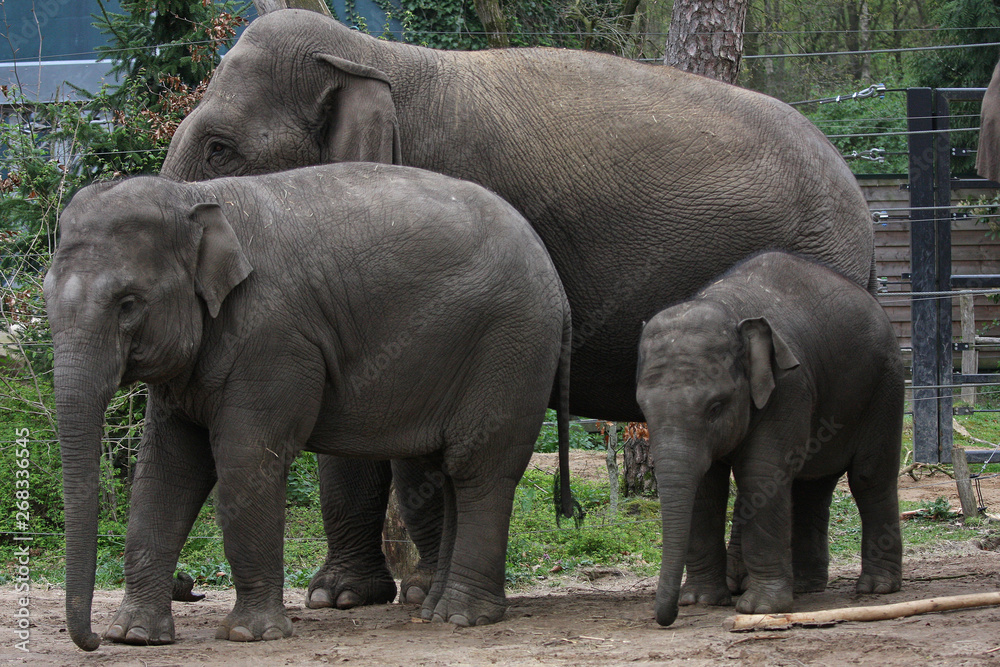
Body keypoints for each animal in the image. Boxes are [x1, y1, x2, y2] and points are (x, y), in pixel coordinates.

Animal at [43, 162, 575, 651]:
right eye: (45, 297)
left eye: (128, 304)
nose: (92, 640)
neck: (194, 198)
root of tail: (552, 270)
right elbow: (167, 469)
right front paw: (134, 636)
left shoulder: (273, 337)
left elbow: (245, 460)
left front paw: (250, 635)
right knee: (447, 471)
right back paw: (434, 611)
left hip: (512, 345)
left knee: (477, 468)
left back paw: (461, 617)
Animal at [159, 8, 879, 610]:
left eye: (220, 147)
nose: (185, 587)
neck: (372, 55)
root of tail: (856, 194)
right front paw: (339, 597)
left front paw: (419, 592)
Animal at [635, 251, 903, 627]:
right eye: (643, 409)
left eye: (715, 407)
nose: (668, 617)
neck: (728, 307)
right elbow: (706, 487)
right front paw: (701, 600)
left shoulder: (790, 385)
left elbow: (761, 473)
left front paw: (760, 608)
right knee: (811, 485)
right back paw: (805, 586)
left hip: (885, 384)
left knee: (869, 477)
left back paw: (877, 589)